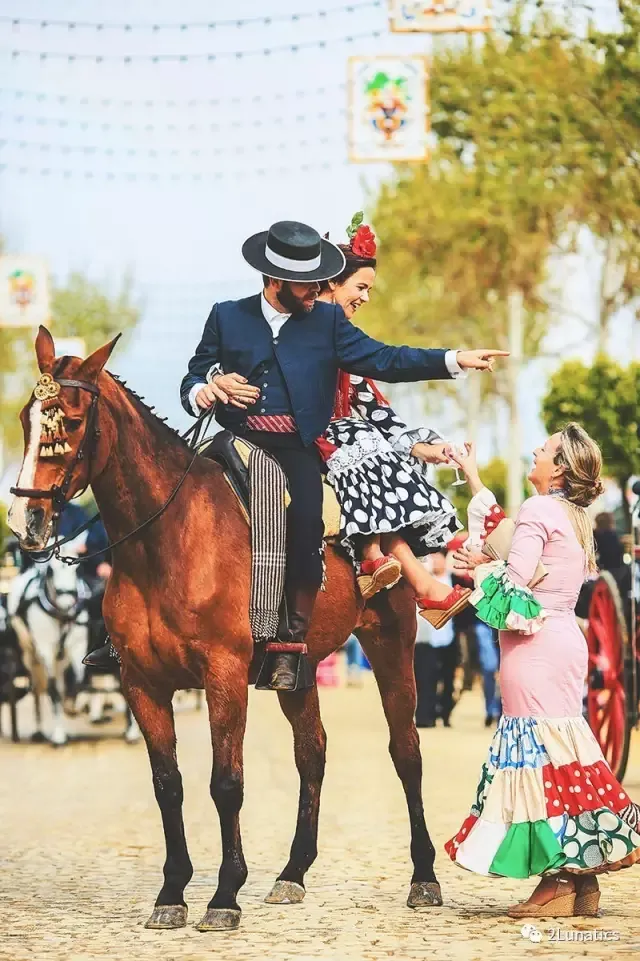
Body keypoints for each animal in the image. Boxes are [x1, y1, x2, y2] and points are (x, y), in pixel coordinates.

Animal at [8, 328, 441, 931]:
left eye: (69, 422)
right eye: (26, 419)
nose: (26, 522)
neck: (163, 541)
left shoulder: (225, 675)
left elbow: (226, 782)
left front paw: (224, 894)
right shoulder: (142, 683)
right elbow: (168, 785)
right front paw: (172, 892)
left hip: (390, 643)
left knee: (407, 752)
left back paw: (424, 875)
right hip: (298, 668)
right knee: (312, 752)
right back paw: (292, 872)